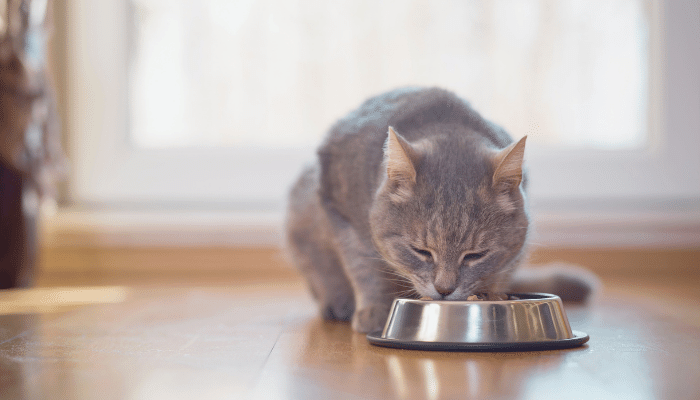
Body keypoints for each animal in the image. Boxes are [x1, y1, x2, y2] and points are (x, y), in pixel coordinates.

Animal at [284, 88, 596, 334]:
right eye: (421, 251)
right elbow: (363, 268)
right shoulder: (342, 216)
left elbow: (501, 269)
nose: (444, 290)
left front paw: (492, 295)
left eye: (475, 255)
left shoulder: (514, 249)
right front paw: (374, 310)